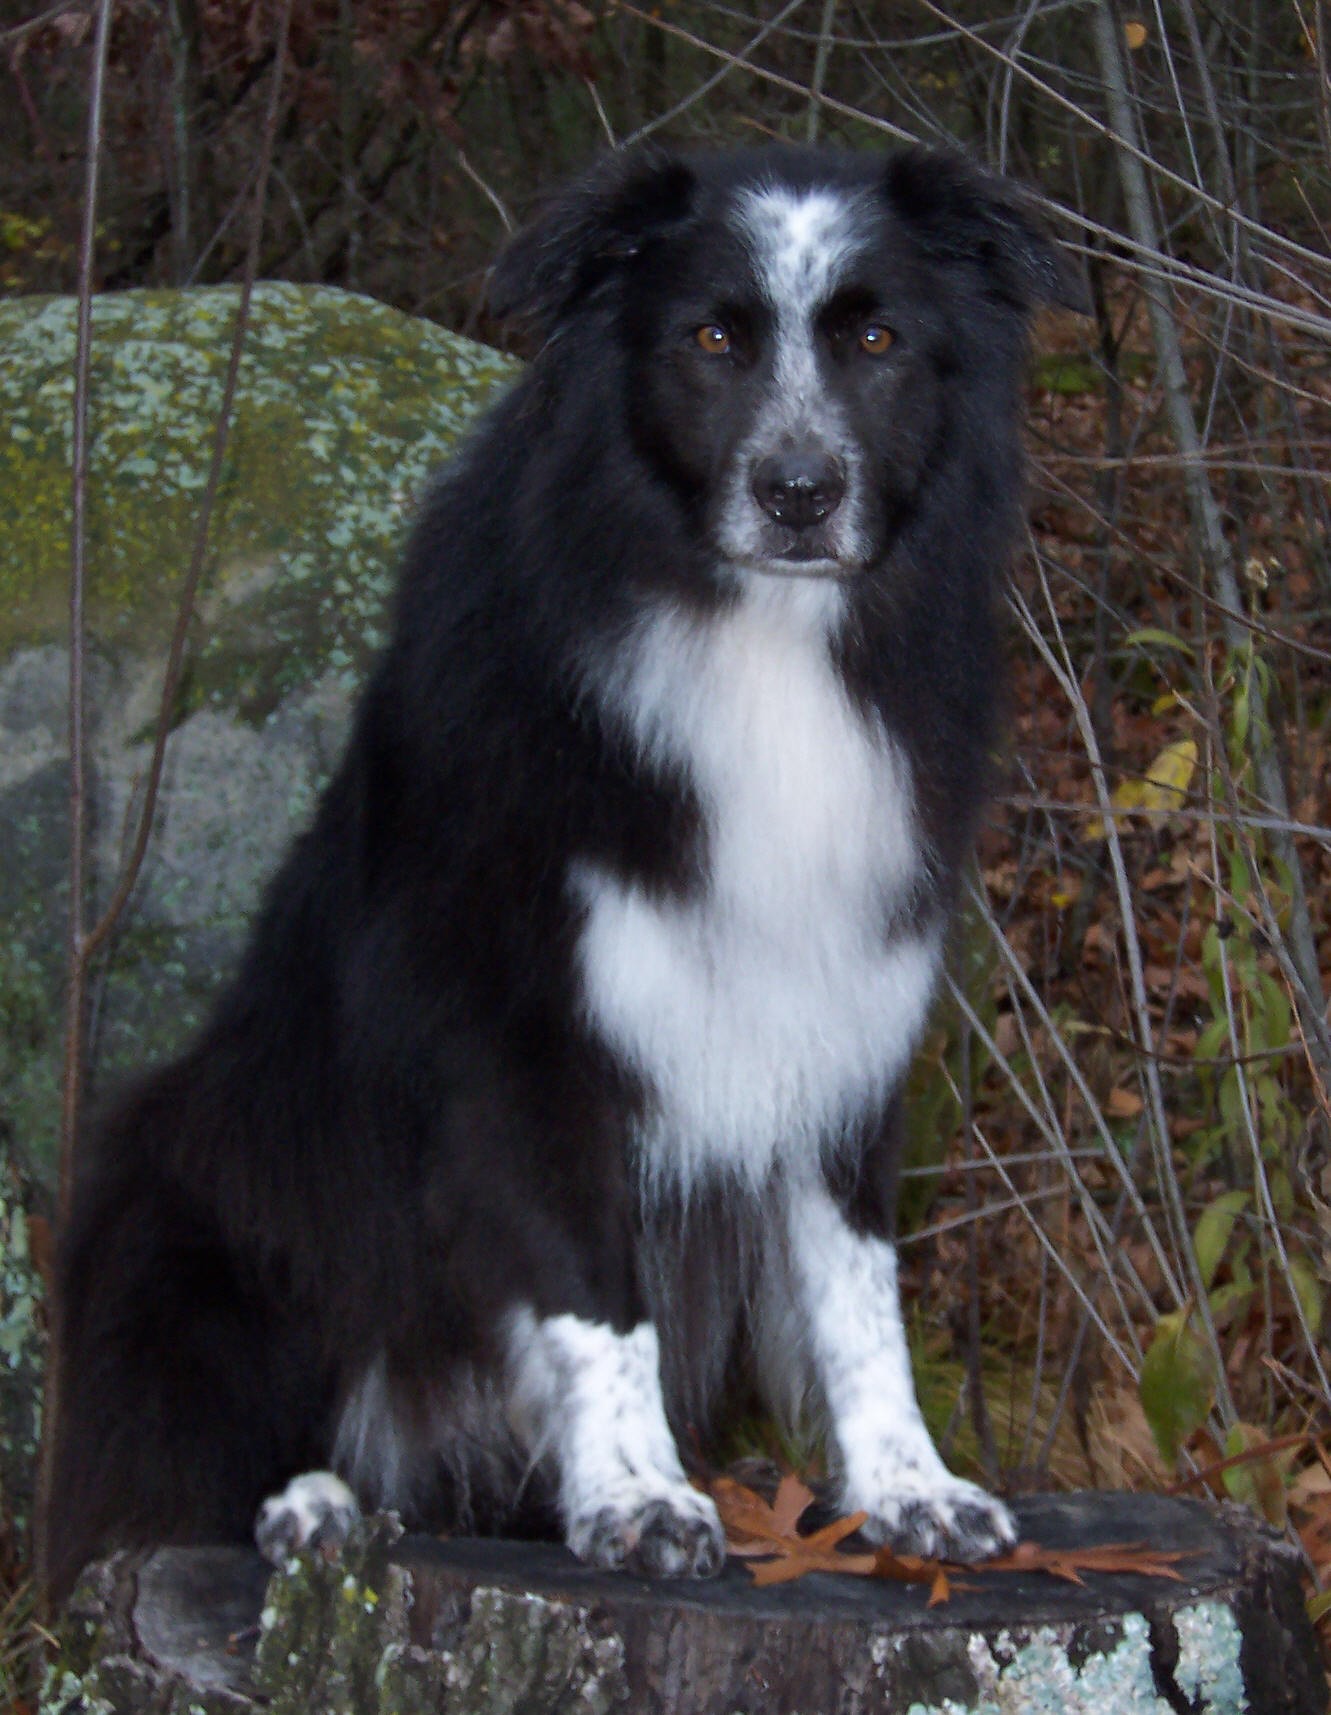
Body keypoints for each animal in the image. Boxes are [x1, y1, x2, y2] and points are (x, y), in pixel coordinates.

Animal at [44, 142, 1084, 1600]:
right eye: (712, 338)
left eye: (876, 340)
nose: (801, 492)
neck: (758, 635)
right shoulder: (531, 1039)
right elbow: (597, 1293)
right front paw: (640, 1497)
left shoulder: (839, 1021)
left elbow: (853, 1284)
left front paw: (906, 1486)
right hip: (187, 1183)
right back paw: (312, 1500)